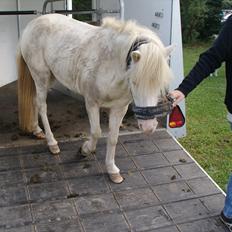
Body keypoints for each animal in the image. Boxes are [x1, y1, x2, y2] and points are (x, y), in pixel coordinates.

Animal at [18, 14, 173, 183]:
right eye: (134, 81)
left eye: (160, 83)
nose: (148, 127)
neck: (111, 64)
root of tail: (33, 23)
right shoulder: (91, 102)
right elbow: (97, 132)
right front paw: (84, 150)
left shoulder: (119, 108)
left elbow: (113, 138)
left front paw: (112, 170)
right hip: (41, 76)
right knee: (41, 105)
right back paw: (52, 143)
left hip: (48, 77)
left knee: (34, 101)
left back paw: (37, 130)